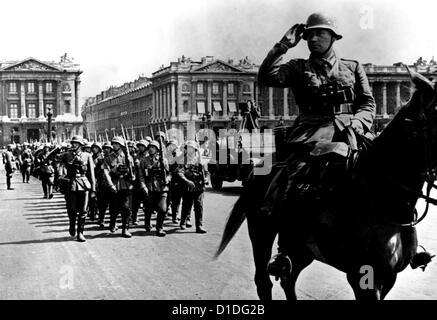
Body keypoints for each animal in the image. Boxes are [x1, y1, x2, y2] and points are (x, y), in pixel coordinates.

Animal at [214, 67, 436, 300]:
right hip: (261, 232)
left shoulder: (389, 277)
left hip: (300, 245)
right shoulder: (361, 276)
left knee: (288, 278)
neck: (384, 199)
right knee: (263, 282)